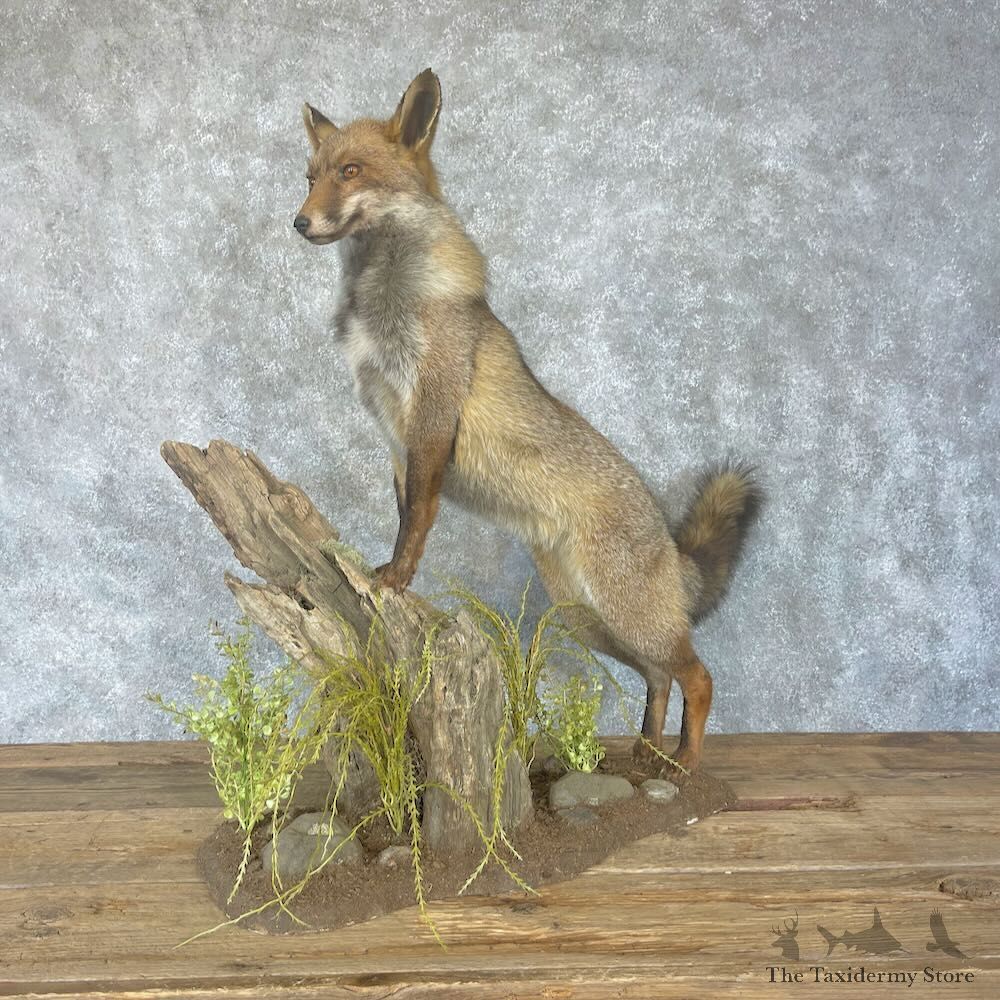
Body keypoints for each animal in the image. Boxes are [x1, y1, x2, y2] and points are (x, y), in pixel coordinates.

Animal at [293, 69, 761, 774]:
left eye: (350, 172)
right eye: (309, 176)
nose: (298, 221)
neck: (380, 305)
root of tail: (664, 534)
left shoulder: (432, 413)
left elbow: (418, 517)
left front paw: (397, 580)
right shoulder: (396, 437)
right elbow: (405, 511)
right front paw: (392, 573)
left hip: (625, 614)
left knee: (698, 676)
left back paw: (683, 765)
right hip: (587, 619)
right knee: (660, 678)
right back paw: (644, 757)